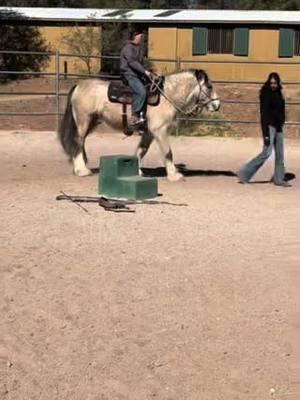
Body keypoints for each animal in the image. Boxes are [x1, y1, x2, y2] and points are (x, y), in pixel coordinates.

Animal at [58, 69, 220, 181]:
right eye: (209, 86)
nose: (217, 105)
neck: (166, 95)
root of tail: (78, 86)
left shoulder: (149, 133)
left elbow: (141, 151)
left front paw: (136, 171)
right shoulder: (160, 130)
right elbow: (168, 152)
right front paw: (174, 175)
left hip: (91, 122)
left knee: (81, 142)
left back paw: (82, 165)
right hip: (83, 121)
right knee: (77, 141)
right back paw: (82, 170)